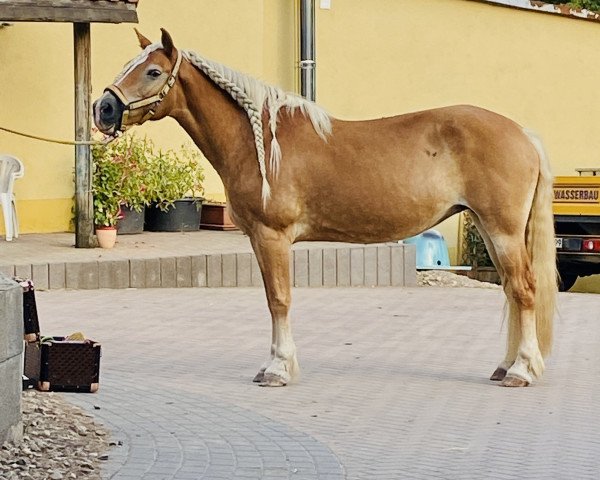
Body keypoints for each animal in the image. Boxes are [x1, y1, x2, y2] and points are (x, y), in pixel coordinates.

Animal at [94, 29, 556, 390]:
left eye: (153, 72)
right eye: (127, 65)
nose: (104, 109)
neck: (260, 141)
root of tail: (523, 134)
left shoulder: (273, 236)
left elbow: (279, 299)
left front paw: (278, 369)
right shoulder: (261, 239)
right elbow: (273, 298)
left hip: (502, 231)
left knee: (523, 290)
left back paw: (521, 371)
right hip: (491, 230)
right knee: (512, 291)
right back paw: (506, 366)